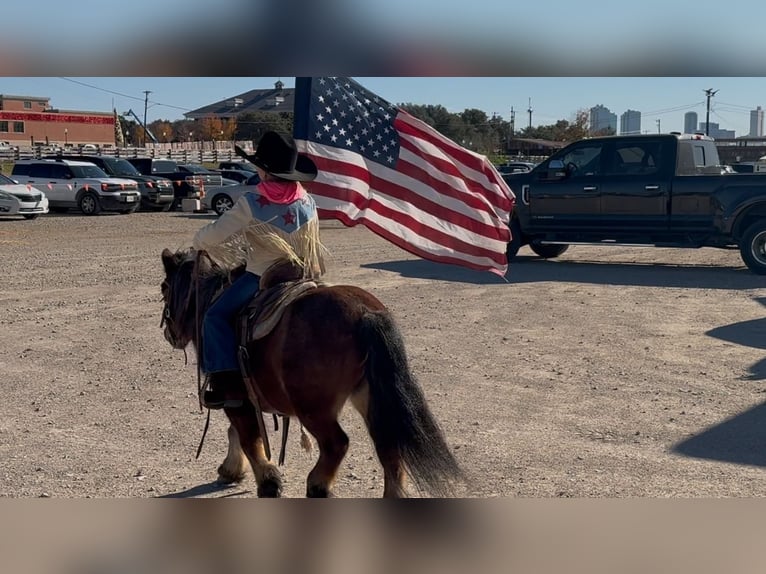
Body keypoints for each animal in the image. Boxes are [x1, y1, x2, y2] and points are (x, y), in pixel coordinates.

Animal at [159, 249, 464, 500]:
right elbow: (236, 432)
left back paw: (318, 485)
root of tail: (364, 313)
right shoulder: (244, 396)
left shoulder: (234, 394)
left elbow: (248, 437)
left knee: (336, 444)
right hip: (371, 398)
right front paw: (231, 470)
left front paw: (268, 482)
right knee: (388, 447)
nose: (169, 334)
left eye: (164, 287)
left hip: (314, 409)